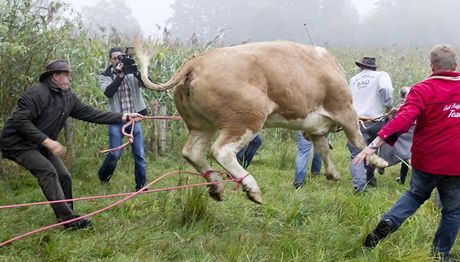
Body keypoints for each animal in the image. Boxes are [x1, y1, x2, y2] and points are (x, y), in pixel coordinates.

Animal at [135, 41, 386, 205]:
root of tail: (197, 61)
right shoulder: (344, 109)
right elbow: (358, 140)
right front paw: (377, 160)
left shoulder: (312, 127)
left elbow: (323, 148)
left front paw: (332, 173)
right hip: (247, 118)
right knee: (221, 150)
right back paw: (251, 188)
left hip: (201, 124)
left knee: (192, 152)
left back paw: (216, 186)